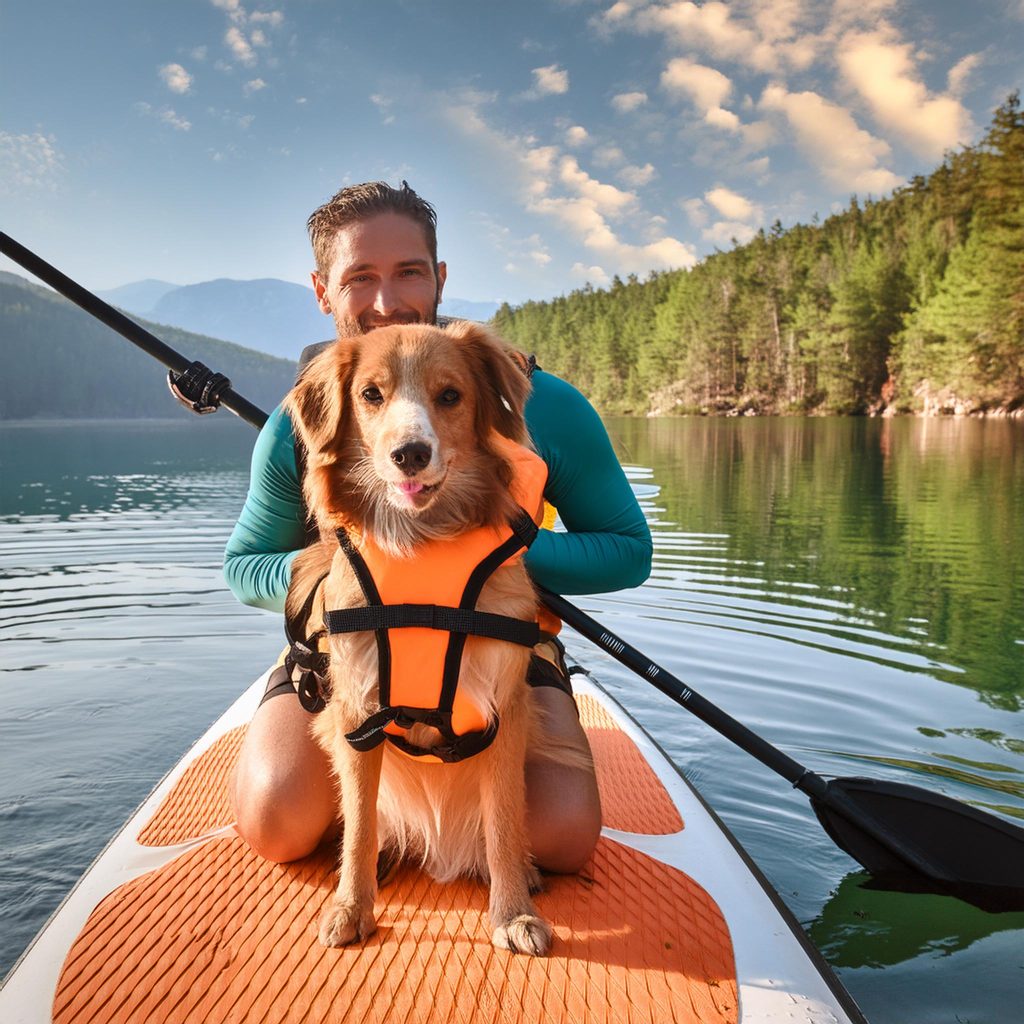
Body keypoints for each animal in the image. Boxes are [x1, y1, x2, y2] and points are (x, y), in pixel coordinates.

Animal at [284, 317, 565, 950]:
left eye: (450, 395)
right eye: (371, 394)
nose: (410, 453)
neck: (420, 543)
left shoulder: (504, 708)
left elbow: (504, 824)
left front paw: (513, 915)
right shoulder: (356, 713)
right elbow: (360, 825)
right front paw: (351, 906)